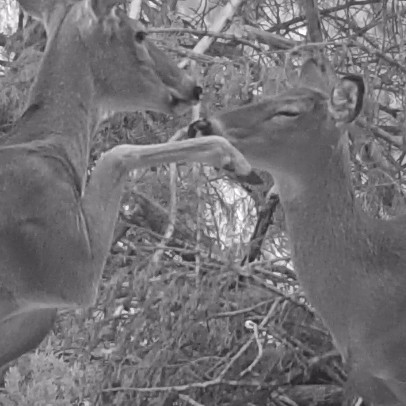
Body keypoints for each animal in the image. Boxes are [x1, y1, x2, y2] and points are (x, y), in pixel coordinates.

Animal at [0, 0, 256, 368]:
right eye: (140, 33)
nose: (193, 87)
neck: (48, 146)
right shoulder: (66, 262)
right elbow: (116, 152)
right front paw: (231, 156)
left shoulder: (29, 322)